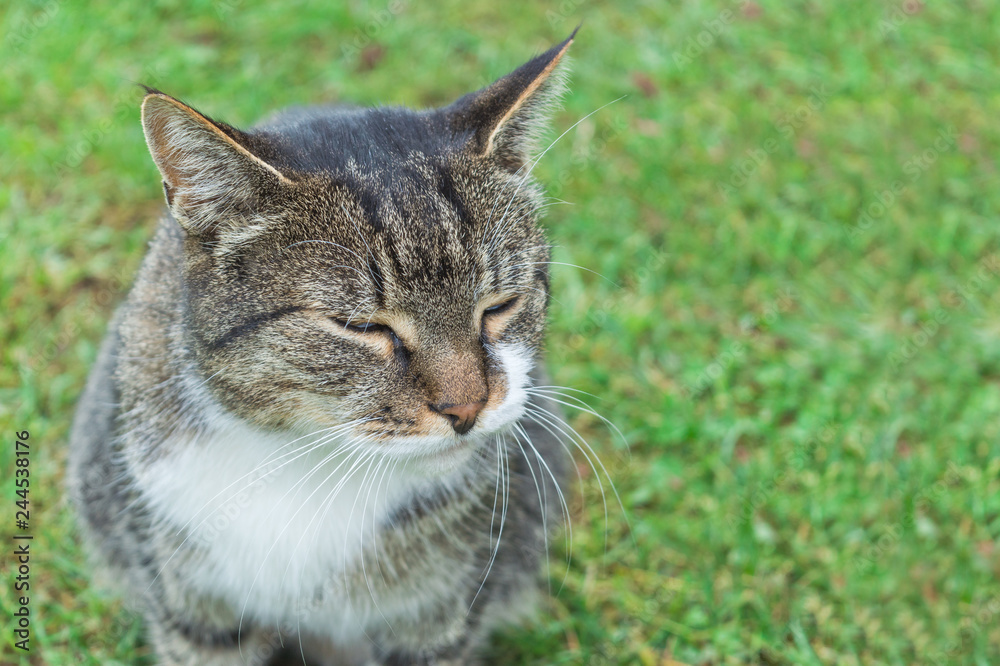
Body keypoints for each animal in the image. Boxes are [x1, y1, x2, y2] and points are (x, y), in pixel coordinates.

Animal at [70, 31, 584, 664]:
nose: (466, 409)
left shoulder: (436, 620)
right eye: (361, 327)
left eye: (499, 306)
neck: (310, 464)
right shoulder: (194, 608)